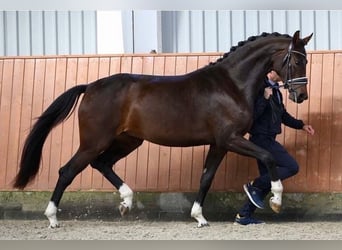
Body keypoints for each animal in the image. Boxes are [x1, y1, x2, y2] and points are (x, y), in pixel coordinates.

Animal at [13, 30, 312, 228]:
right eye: (297, 61)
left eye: (306, 60)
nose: (301, 96)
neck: (230, 84)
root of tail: (90, 87)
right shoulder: (231, 139)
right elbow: (269, 157)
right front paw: (276, 200)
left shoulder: (219, 143)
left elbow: (206, 177)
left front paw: (199, 217)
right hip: (94, 142)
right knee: (68, 171)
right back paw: (52, 218)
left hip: (128, 141)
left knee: (102, 164)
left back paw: (126, 202)